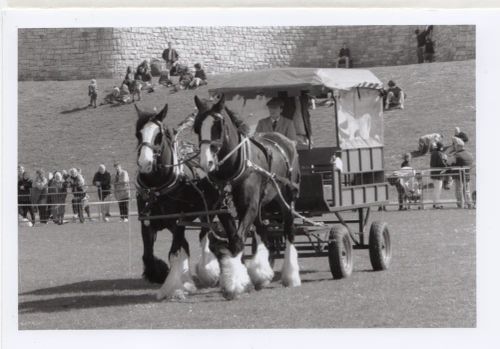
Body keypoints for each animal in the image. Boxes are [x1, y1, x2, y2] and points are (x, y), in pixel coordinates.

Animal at [133, 102, 234, 300]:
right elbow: (148, 255)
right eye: (138, 134)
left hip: (213, 210)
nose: (145, 163)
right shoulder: (147, 223)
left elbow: (174, 253)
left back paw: (208, 271)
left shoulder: (178, 222)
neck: (157, 188)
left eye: (159, 135)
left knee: (204, 237)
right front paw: (160, 274)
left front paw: (173, 287)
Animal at [191, 95, 300, 300]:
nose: (206, 162)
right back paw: (261, 275)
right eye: (197, 125)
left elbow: (239, 239)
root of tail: (285, 141)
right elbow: (233, 240)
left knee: (288, 230)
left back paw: (291, 276)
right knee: (262, 231)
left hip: (286, 199)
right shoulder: (225, 209)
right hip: (261, 205)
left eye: (218, 125)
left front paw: (234, 284)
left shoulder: (248, 206)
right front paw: (233, 279)